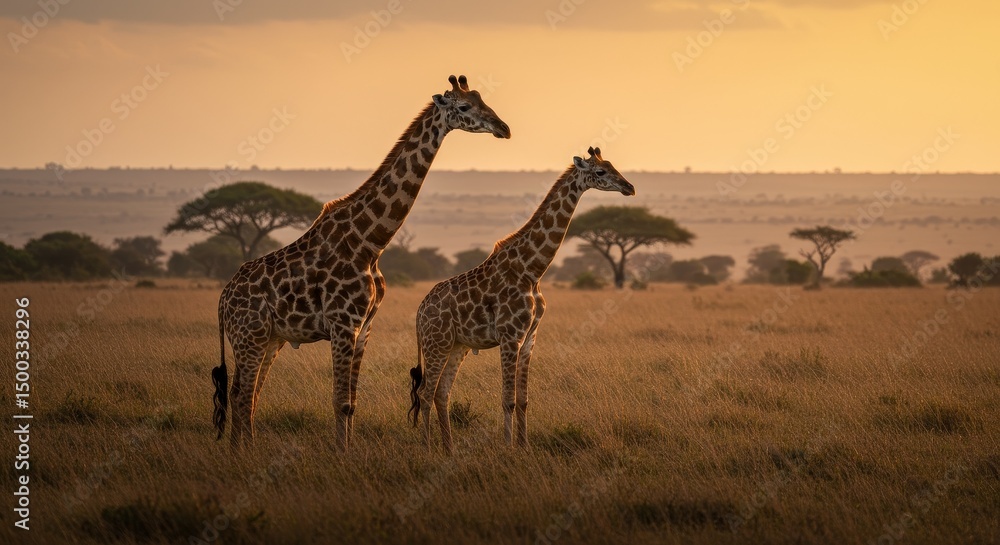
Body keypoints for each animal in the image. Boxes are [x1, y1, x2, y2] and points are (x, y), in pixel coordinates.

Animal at [213, 75, 511, 451]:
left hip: (268, 338)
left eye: (482, 99)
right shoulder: (343, 324)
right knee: (242, 393)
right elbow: (340, 401)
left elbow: (352, 402)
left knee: (246, 393)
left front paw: (350, 452)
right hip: (249, 336)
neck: (371, 243)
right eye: (464, 106)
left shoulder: (364, 326)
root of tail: (222, 300)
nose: (504, 128)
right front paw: (341, 455)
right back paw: (244, 452)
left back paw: (241, 450)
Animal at [408, 147, 635, 453]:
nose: (629, 187)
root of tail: (419, 312)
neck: (532, 270)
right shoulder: (510, 336)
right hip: (437, 342)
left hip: (457, 346)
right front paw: (508, 448)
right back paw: (428, 448)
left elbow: (524, 400)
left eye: (613, 166)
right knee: (425, 391)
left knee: (441, 391)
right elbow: (508, 400)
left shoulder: (530, 338)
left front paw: (524, 447)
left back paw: (449, 449)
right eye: (600, 171)